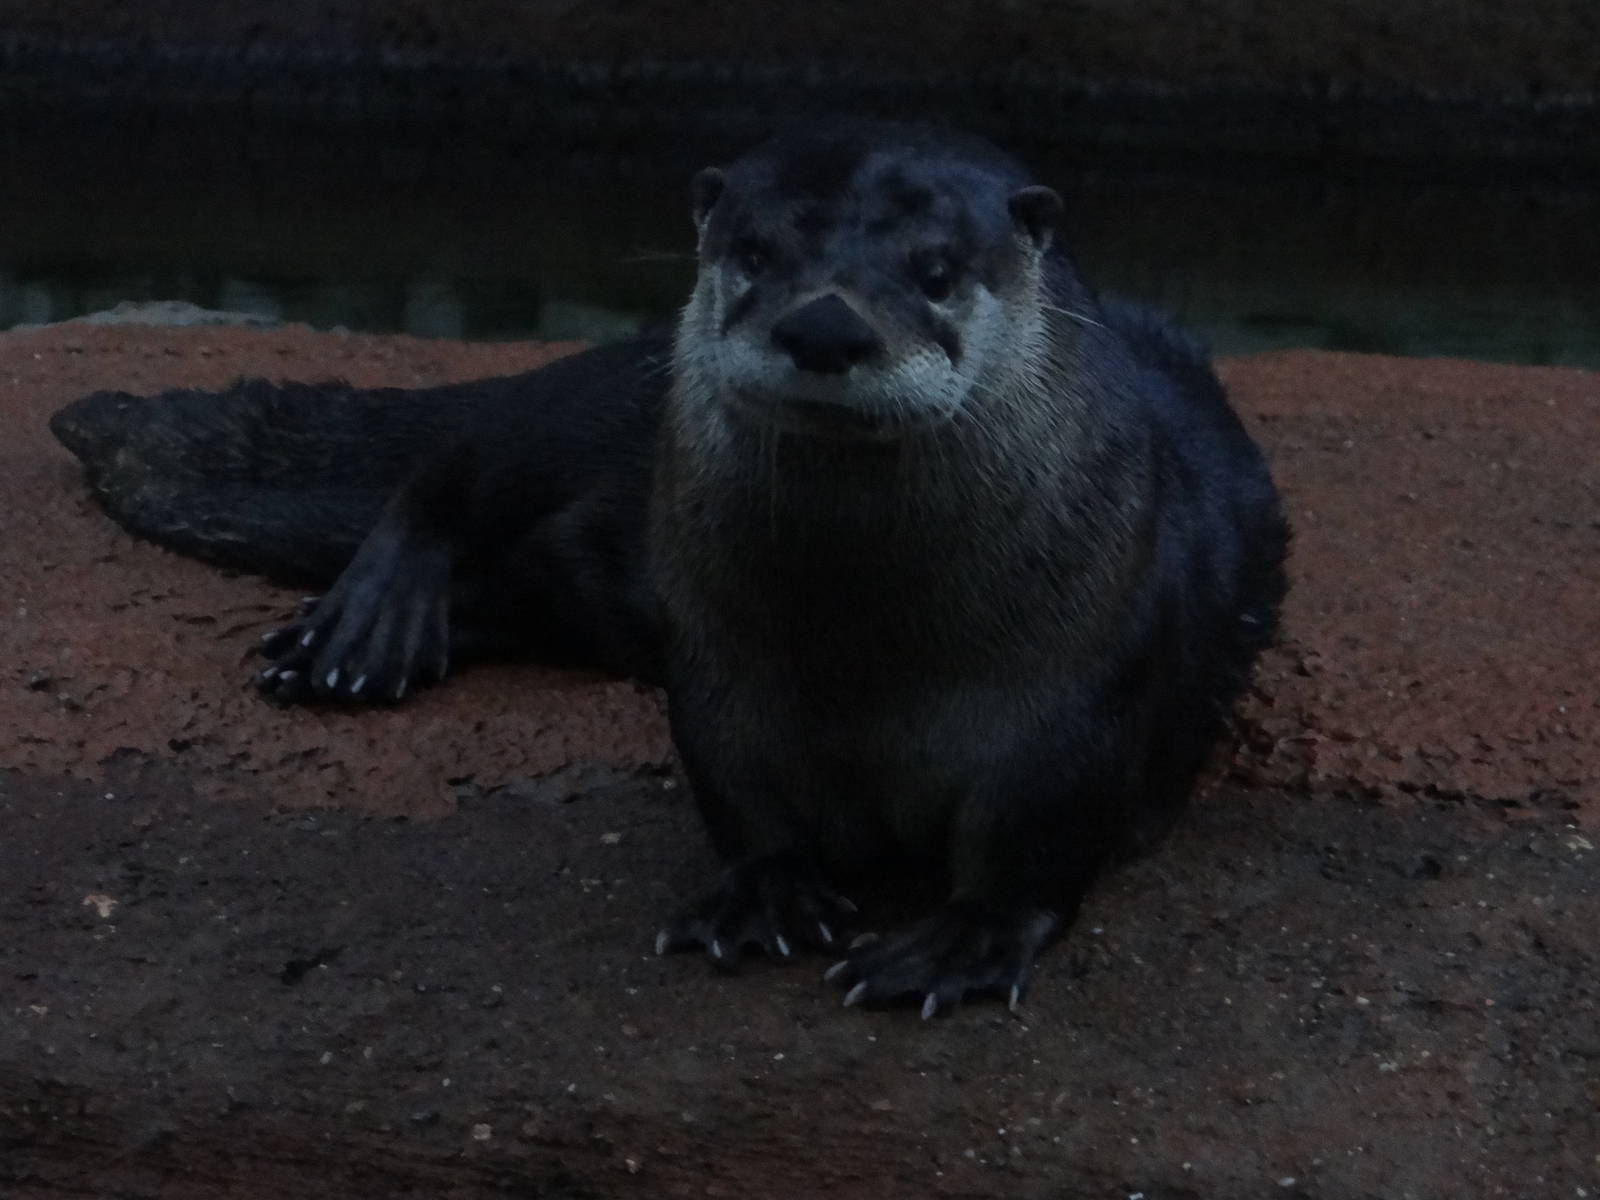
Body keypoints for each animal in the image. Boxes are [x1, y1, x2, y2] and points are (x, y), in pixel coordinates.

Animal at [50, 123, 1288, 1016]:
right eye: (752, 254)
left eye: (936, 271)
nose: (826, 325)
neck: (870, 655)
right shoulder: (722, 674)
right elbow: (739, 789)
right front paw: (762, 893)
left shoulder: (1090, 696)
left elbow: (1039, 842)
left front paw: (960, 943)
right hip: (601, 400)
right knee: (459, 455)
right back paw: (361, 628)